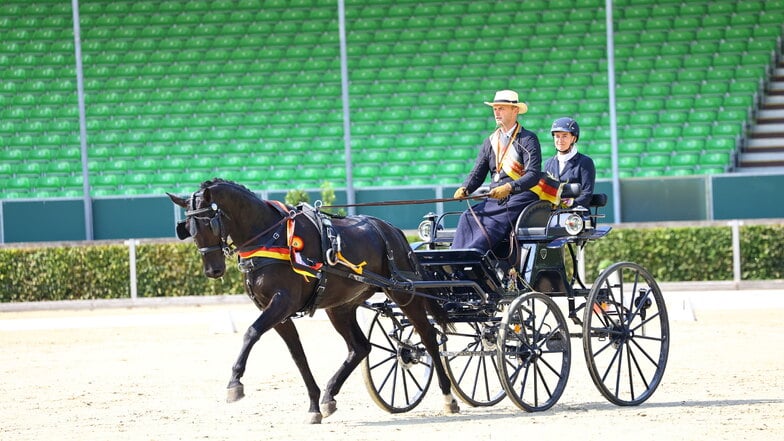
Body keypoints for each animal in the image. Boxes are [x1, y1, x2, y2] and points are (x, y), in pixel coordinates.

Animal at [166, 179, 460, 422]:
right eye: (188, 228)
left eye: (210, 223)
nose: (213, 270)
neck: (271, 237)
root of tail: (392, 230)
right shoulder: (278, 313)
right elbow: (298, 355)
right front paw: (314, 405)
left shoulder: (281, 303)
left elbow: (251, 333)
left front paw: (234, 383)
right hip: (340, 306)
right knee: (360, 348)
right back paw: (330, 395)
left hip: (403, 294)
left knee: (428, 337)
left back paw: (449, 397)